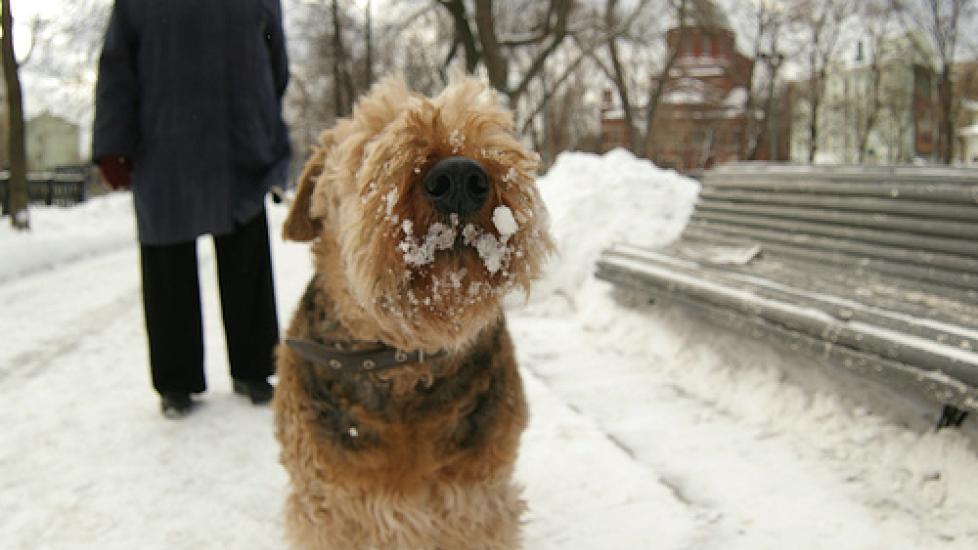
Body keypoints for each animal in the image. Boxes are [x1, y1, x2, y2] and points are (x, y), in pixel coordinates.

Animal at [270, 74, 552, 550]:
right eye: (370, 141)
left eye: (491, 121)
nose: (458, 176)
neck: (403, 363)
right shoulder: (330, 510)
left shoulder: (476, 505)